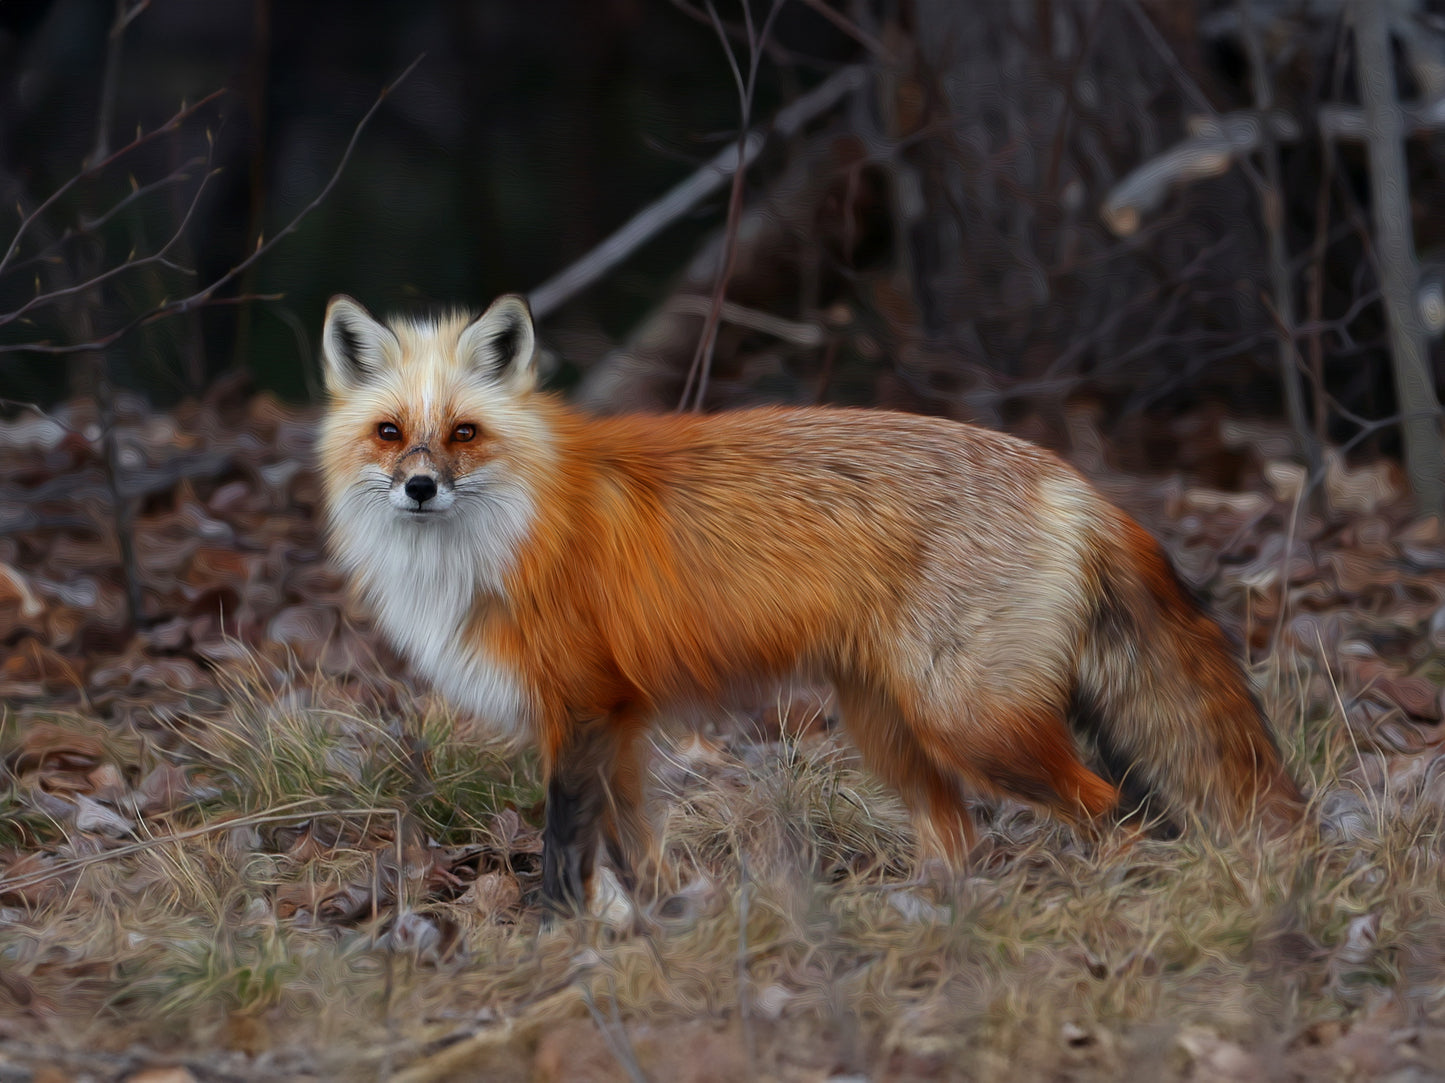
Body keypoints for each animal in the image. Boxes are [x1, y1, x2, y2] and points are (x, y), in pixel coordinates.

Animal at [317, 292, 1305, 912]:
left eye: (465, 433)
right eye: (390, 432)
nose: (419, 489)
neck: (506, 534)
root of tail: (1071, 478)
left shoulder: (583, 706)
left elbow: (566, 843)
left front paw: (556, 937)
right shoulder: (620, 722)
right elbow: (634, 844)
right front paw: (660, 919)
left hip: (971, 721)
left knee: (1112, 810)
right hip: (888, 726)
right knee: (959, 835)